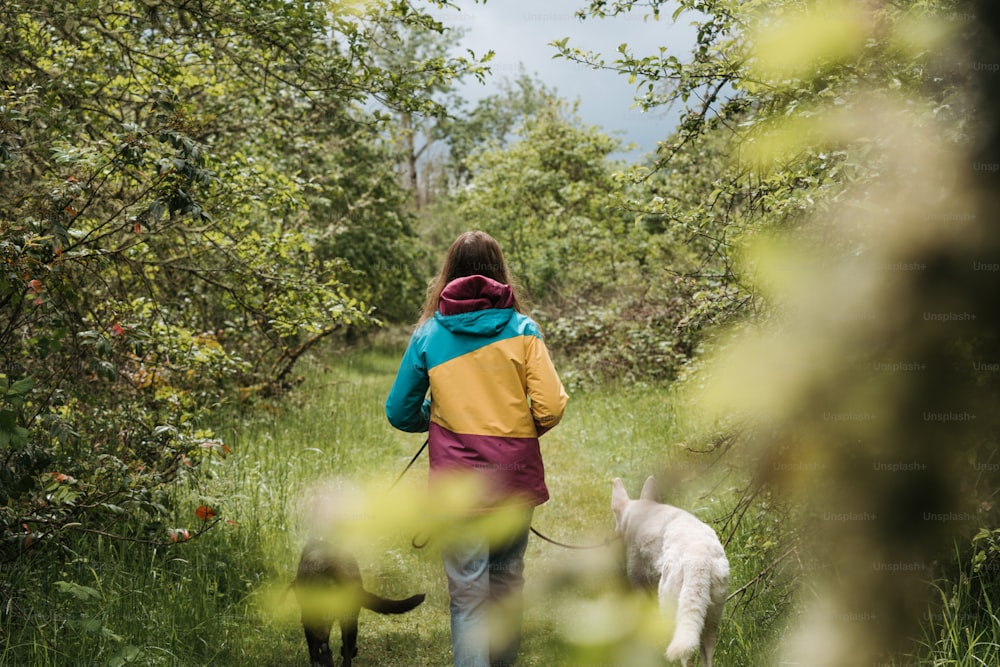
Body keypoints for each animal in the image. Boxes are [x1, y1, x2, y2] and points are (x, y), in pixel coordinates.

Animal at [292, 536, 426, 667]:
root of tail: (335, 565)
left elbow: (312, 647)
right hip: (349, 616)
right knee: (347, 648)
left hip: (320, 617)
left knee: (324, 647)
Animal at [608, 478, 728, 664]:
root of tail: (698, 559)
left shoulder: (639, 584)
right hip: (712, 617)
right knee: (706, 653)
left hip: (669, 605)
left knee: (685, 655)